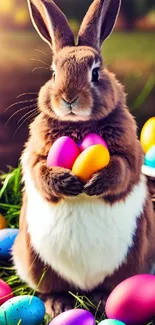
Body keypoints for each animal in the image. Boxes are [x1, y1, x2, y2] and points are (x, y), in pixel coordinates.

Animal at [11, 0, 155, 318]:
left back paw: (101, 300)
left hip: (131, 260)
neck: (78, 126)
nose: (69, 98)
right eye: (53, 74)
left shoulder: (131, 152)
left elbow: (123, 168)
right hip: (36, 261)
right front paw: (66, 183)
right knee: (52, 288)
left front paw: (96, 182)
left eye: (96, 74)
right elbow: (38, 170)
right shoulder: (34, 152)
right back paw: (59, 305)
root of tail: (83, 284)